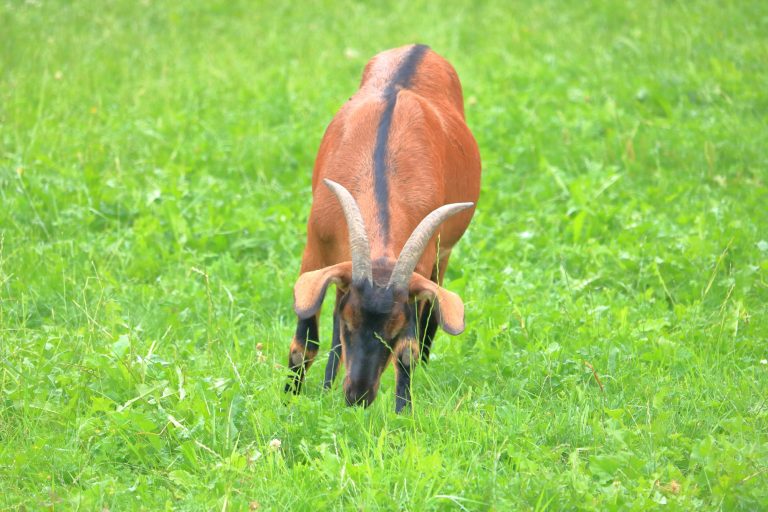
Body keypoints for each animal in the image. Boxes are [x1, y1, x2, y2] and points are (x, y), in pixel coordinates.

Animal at [285, 44, 481, 412]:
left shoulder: (421, 267)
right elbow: (305, 340)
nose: (358, 396)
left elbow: (409, 350)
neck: (380, 171)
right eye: (350, 323)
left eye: (393, 332)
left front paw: (404, 412)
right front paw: (290, 400)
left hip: (442, 256)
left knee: (432, 315)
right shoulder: (316, 248)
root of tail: (420, 47)